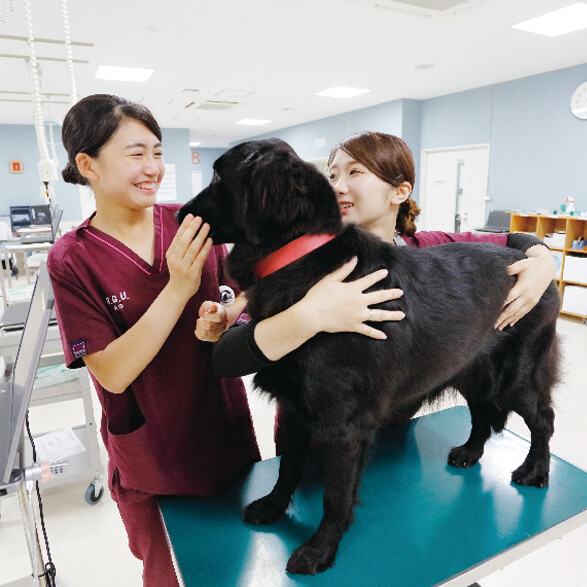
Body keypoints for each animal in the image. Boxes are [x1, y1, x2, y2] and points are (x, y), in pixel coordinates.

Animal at [178, 138, 560, 576]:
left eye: (218, 176)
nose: (178, 213)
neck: (302, 262)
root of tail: (542, 267)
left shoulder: (344, 425)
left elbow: (335, 496)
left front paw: (320, 549)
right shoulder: (294, 406)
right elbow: (288, 467)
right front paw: (274, 506)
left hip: (517, 375)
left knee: (543, 420)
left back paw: (536, 470)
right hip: (469, 368)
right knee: (481, 412)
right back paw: (470, 452)